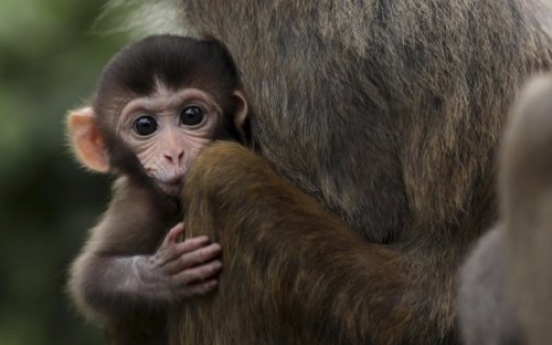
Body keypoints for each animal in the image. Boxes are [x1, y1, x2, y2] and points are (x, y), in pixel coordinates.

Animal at [67, 34, 250, 342]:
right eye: (144, 125)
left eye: (191, 115)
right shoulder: (138, 203)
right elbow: (90, 276)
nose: (173, 154)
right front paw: (159, 274)